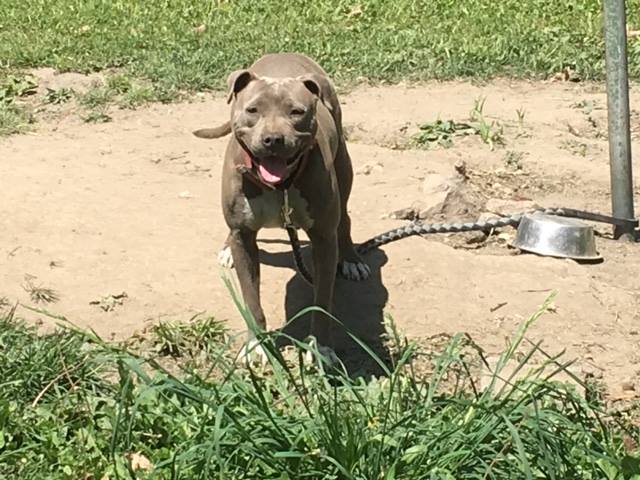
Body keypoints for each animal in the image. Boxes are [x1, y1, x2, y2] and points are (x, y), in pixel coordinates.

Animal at [192, 53, 368, 360]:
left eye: (296, 112)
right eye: (253, 110)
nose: (273, 139)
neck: (279, 186)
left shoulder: (323, 239)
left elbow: (322, 301)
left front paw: (320, 349)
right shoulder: (244, 237)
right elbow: (251, 299)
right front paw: (256, 345)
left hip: (344, 165)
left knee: (344, 218)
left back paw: (351, 259)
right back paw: (226, 248)